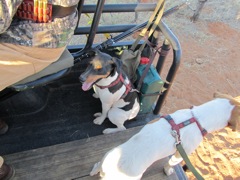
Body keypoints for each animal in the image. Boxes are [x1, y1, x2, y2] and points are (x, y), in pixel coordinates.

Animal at [90, 93, 240, 180]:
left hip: (105, 157)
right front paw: (168, 170)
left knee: (97, 164)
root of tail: (106, 168)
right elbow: (170, 163)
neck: (196, 118)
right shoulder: (180, 155)